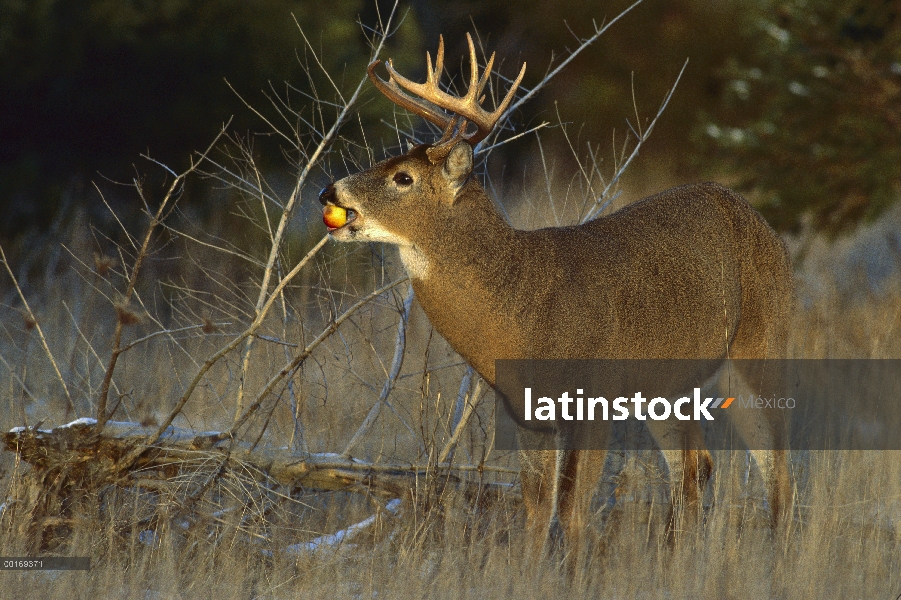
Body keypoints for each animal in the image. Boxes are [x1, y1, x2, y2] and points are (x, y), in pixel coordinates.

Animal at [318, 35, 796, 556]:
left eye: (402, 177)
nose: (329, 192)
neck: (521, 306)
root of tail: (762, 223)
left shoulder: (597, 398)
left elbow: (570, 508)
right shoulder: (528, 412)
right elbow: (535, 510)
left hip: (759, 347)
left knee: (777, 469)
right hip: (669, 387)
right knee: (696, 468)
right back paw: (673, 555)